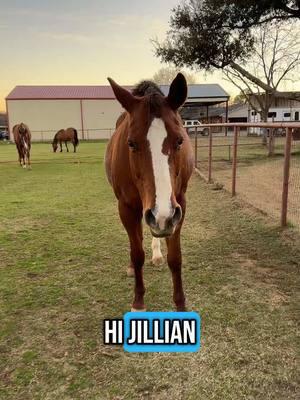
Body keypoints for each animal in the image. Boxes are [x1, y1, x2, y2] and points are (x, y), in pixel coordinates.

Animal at [105, 75, 195, 312]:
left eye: (179, 140)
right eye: (131, 143)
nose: (161, 215)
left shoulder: (179, 206)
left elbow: (175, 257)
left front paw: (181, 305)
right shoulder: (126, 208)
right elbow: (136, 254)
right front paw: (138, 302)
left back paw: (156, 253)